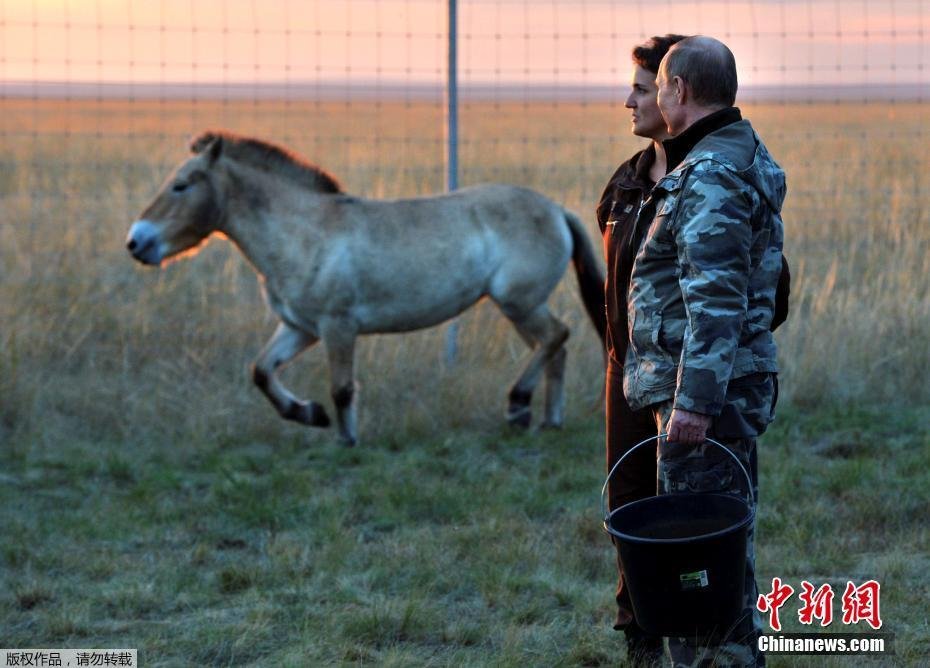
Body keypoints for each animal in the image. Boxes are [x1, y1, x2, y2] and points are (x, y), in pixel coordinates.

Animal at [129, 130, 608, 444]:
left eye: (181, 185)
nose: (136, 242)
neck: (304, 233)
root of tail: (557, 209)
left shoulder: (337, 326)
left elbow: (342, 387)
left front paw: (346, 440)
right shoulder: (300, 327)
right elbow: (262, 371)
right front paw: (310, 415)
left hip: (519, 302)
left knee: (556, 336)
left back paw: (518, 405)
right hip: (519, 307)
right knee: (554, 348)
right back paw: (546, 420)